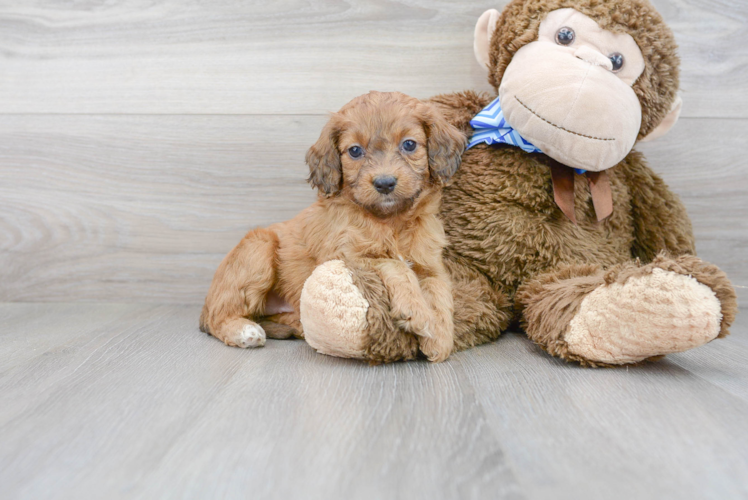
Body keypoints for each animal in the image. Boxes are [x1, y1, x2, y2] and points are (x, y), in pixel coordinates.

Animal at [202, 90, 464, 362]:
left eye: (409, 144)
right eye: (355, 151)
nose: (384, 183)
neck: (390, 221)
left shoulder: (431, 265)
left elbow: (440, 292)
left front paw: (441, 337)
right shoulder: (345, 256)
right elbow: (394, 264)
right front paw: (417, 312)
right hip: (259, 248)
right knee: (216, 317)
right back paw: (244, 331)